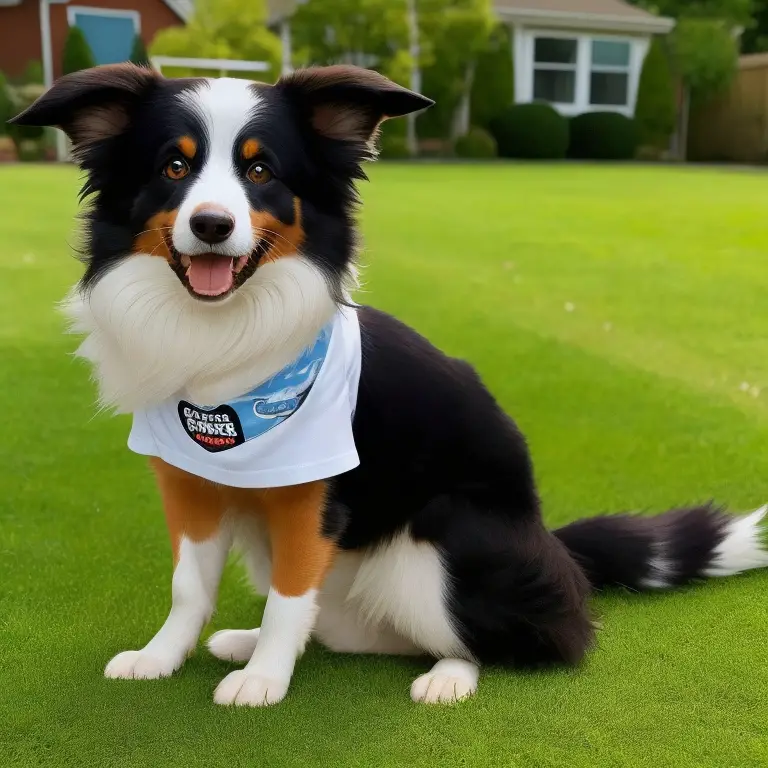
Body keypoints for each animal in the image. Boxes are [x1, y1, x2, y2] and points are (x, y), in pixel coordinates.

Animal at [12, 66, 768, 708]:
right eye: (174, 166)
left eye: (260, 170)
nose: (212, 225)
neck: (225, 344)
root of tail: (555, 548)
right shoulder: (189, 482)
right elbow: (190, 588)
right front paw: (163, 657)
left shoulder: (309, 498)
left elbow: (290, 593)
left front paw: (263, 681)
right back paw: (249, 640)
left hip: (440, 540)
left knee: (512, 637)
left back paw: (448, 677)